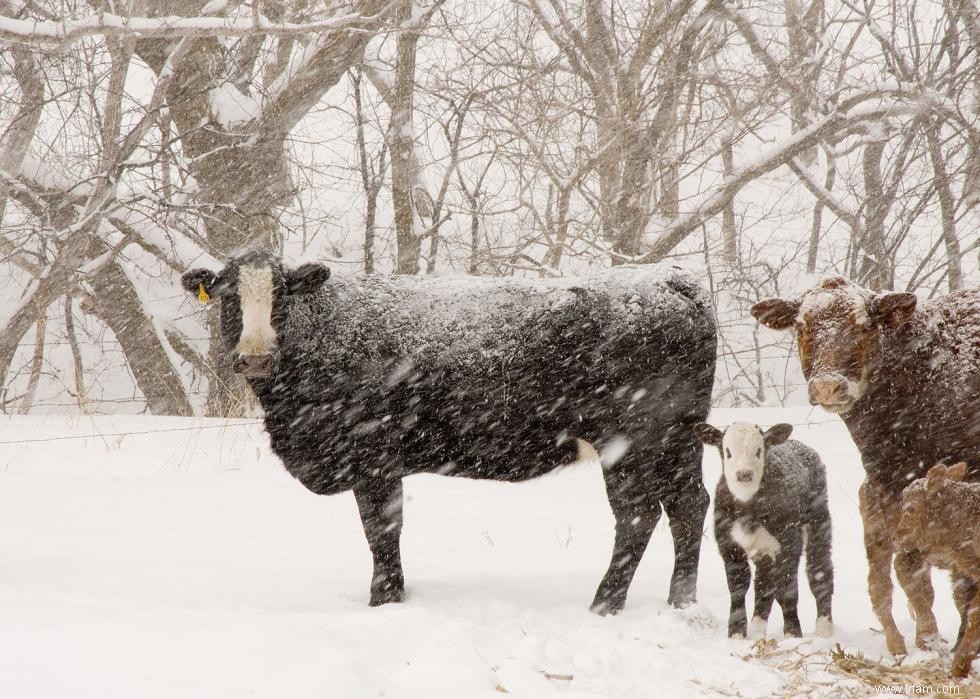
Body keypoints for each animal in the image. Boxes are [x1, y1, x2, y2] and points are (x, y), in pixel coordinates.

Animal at [184, 249, 716, 616]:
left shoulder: (373, 454)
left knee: (637, 515)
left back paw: (604, 604)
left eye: (282, 296)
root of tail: (669, 278)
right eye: (228, 297)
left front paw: (385, 601)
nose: (255, 356)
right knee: (689, 505)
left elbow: (381, 529)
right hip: (680, 437)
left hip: (630, 440)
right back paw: (682, 601)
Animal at [688, 422, 836, 640]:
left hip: (818, 521)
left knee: (820, 572)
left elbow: (787, 591)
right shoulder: (728, 545)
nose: (744, 474)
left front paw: (793, 634)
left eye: (758, 451)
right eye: (727, 451)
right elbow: (738, 588)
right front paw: (736, 633)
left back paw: (824, 630)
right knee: (764, 584)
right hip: (764, 549)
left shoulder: (789, 543)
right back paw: (757, 629)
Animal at [756, 278, 976, 656]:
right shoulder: (891, 488)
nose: (828, 385)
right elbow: (909, 572)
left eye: (861, 326)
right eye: (802, 326)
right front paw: (926, 640)